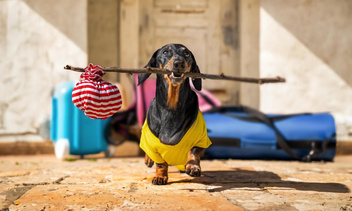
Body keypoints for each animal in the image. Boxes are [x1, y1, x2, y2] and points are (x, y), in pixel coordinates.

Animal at [138, 43, 212, 185]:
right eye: (166, 52)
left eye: (187, 54)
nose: (179, 63)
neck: (171, 107)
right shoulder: (153, 145)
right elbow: (160, 163)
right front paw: (160, 176)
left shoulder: (201, 140)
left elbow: (194, 151)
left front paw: (193, 166)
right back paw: (148, 159)